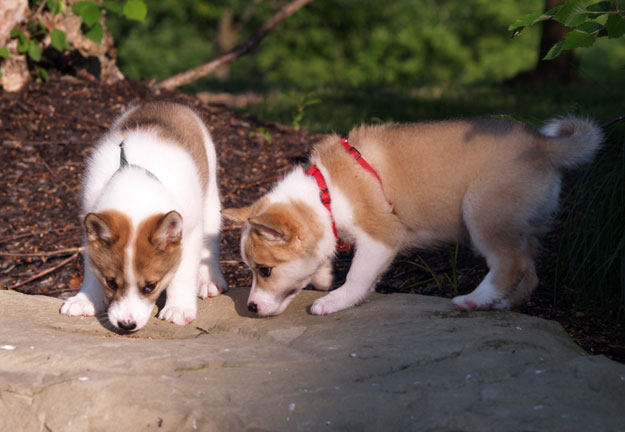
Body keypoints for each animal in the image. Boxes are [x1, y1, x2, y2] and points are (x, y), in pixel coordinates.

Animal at [59, 101, 227, 330]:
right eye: (111, 282)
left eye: (150, 286)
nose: (126, 325)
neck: (136, 195)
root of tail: (167, 102)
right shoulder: (88, 227)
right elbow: (91, 270)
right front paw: (86, 299)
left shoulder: (190, 232)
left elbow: (182, 274)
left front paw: (178, 309)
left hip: (210, 202)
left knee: (210, 244)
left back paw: (209, 281)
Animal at [223, 116, 600, 316]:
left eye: (264, 270)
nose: (251, 308)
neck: (326, 191)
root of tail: (543, 145)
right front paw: (325, 278)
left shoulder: (381, 237)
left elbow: (357, 277)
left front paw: (334, 300)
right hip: (521, 227)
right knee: (530, 272)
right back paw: (502, 305)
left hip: (484, 212)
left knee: (511, 265)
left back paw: (473, 300)